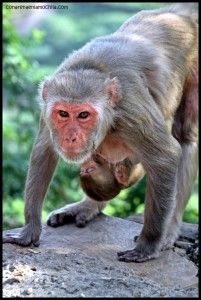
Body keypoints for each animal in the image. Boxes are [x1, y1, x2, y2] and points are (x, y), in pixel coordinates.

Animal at [3, 4, 198, 262]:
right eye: (63, 114)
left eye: (84, 115)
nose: (71, 137)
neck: (91, 68)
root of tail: (180, 11)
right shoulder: (46, 107)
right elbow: (44, 152)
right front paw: (29, 229)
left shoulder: (130, 111)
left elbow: (166, 156)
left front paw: (148, 245)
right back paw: (89, 206)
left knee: (186, 137)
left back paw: (170, 229)